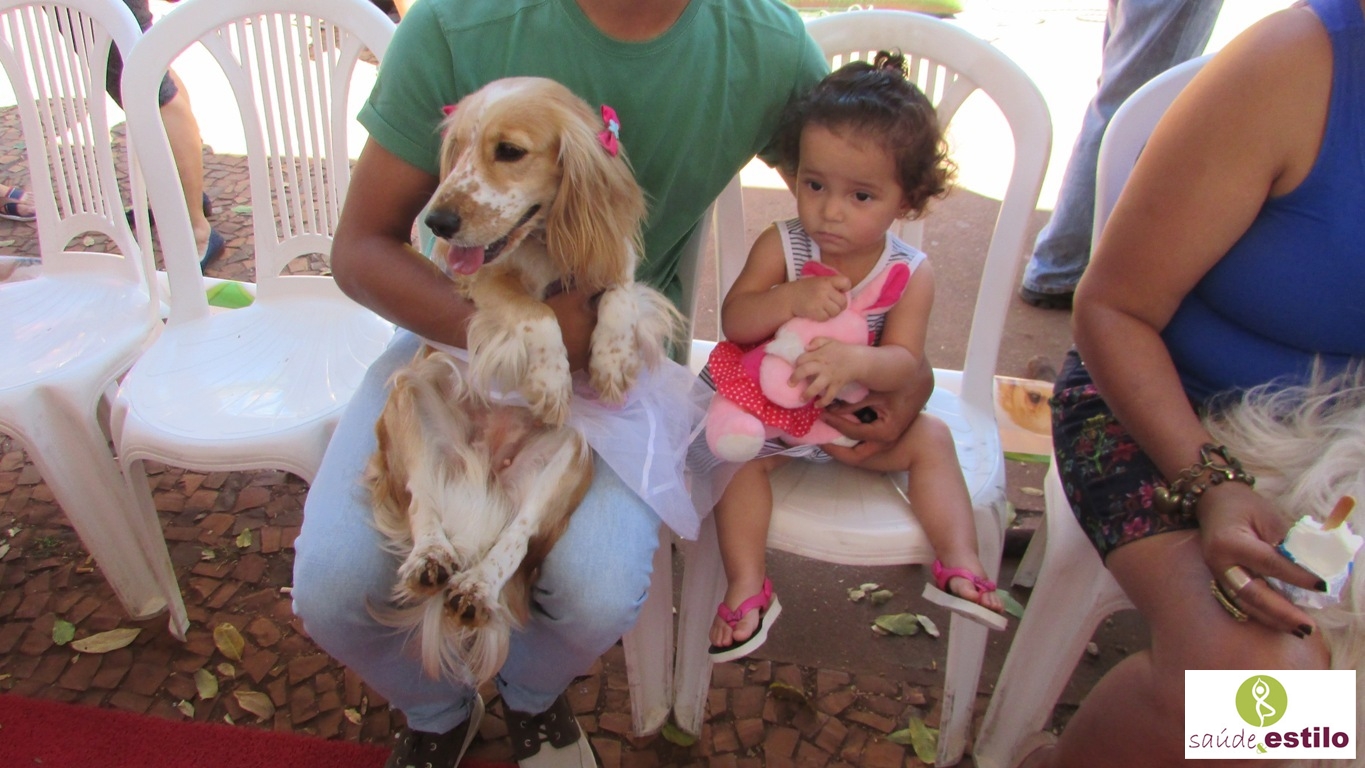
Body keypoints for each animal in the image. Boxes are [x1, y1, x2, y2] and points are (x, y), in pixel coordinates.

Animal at [367, 77, 681, 685]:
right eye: (458, 150)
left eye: (508, 151)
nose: (438, 222)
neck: (541, 242)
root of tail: (486, 473)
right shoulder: (485, 284)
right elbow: (536, 313)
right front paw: (553, 379)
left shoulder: (613, 262)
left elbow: (621, 296)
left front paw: (609, 363)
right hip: (411, 392)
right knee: (423, 500)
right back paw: (430, 560)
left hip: (571, 455)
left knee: (519, 533)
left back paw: (476, 589)